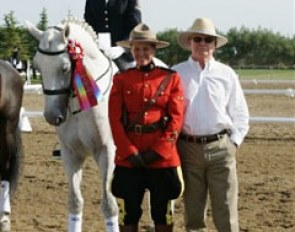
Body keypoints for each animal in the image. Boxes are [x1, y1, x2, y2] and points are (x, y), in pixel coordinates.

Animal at [26, 18, 119, 232]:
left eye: (65, 67)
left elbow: (109, 205)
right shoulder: (71, 154)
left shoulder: (106, 152)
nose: (52, 116)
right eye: (37, 67)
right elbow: (75, 201)